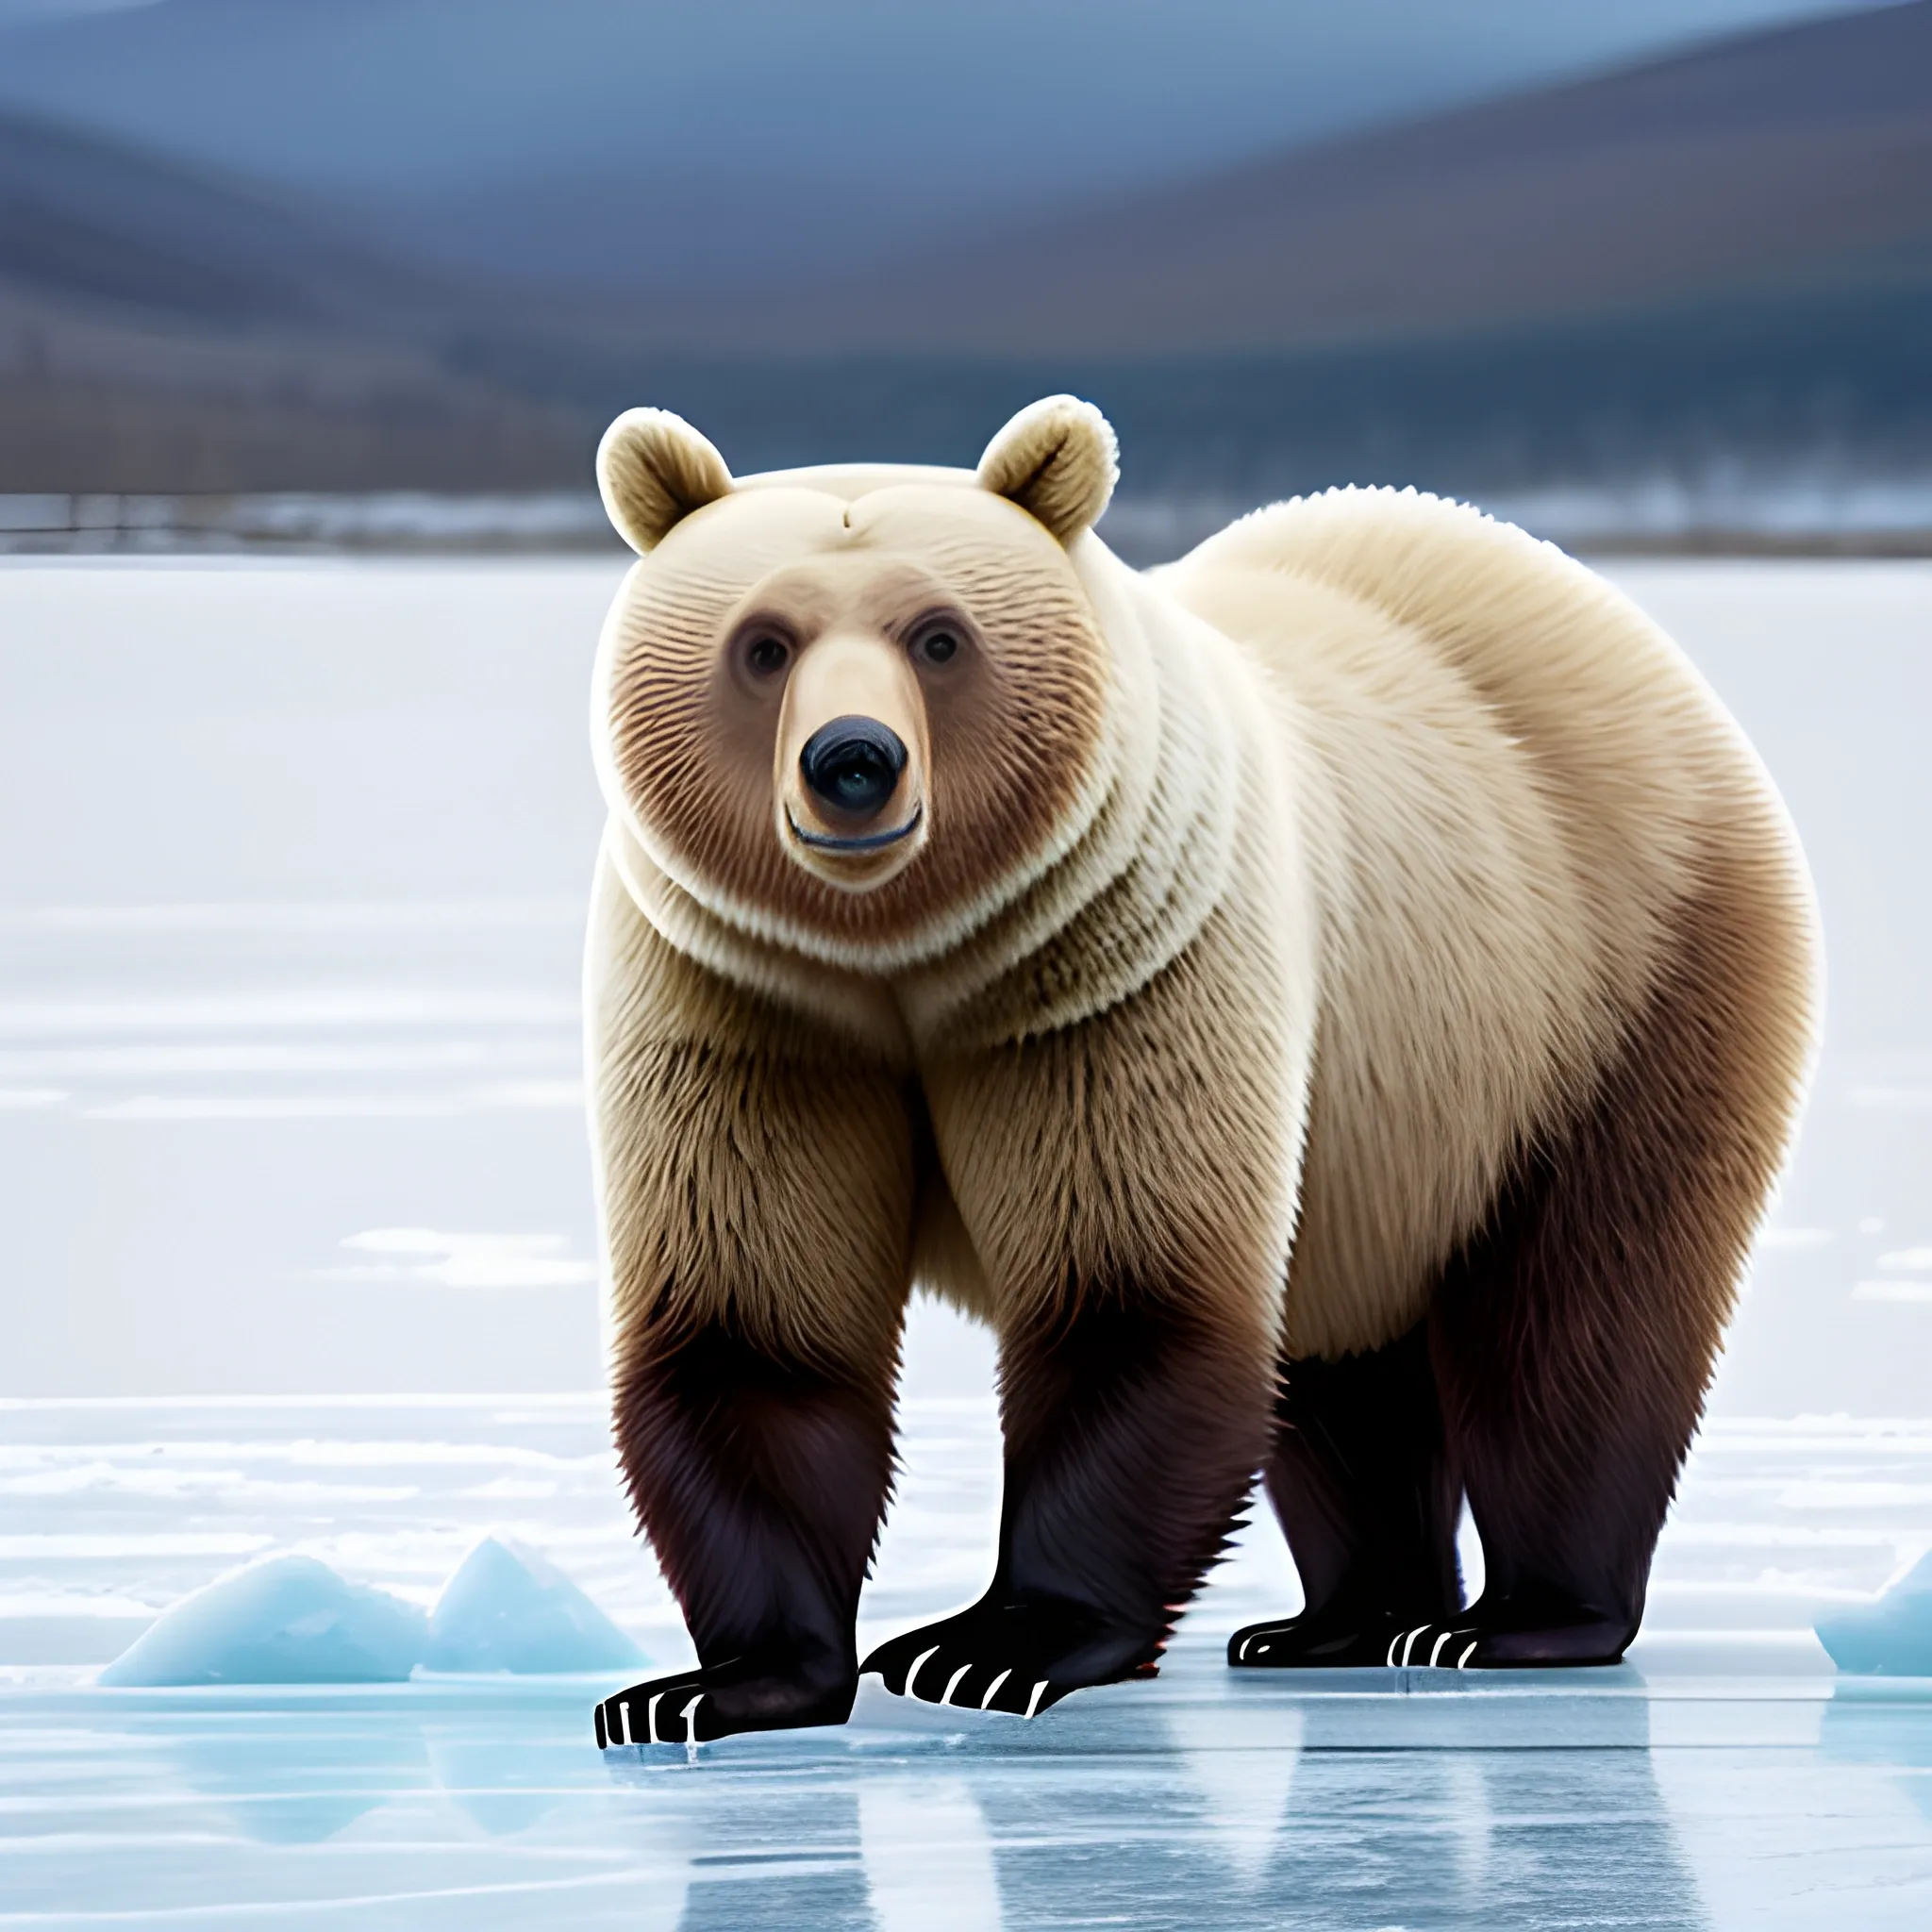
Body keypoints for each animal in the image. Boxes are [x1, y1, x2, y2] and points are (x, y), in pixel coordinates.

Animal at [579, 391, 1816, 1754]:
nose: (853, 759)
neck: (901, 957)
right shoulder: (750, 1013)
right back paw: (1340, 1620)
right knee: (1340, 1355)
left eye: (940, 635)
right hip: (1390, 1119)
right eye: (762, 643)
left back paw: (1517, 1618)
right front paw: (717, 1683)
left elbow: (1131, 1292)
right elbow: (755, 1327)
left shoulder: (1116, 969)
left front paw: (990, 1644)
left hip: (1611, 985)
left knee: (1575, 1311)